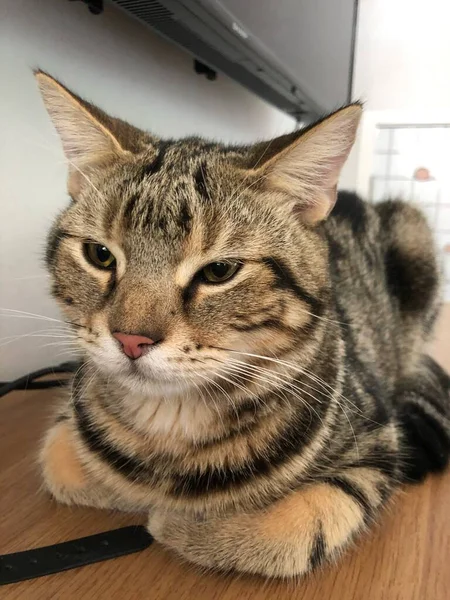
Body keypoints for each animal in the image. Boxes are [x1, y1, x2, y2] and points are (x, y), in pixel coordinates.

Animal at [36, 71, 450, 580]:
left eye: (219, 271)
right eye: (100, 255)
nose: (131, 339)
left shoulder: (374, 443)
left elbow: (295, 527)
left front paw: (182, 524)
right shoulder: (68, 423)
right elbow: (62, 460)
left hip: (414, 239)